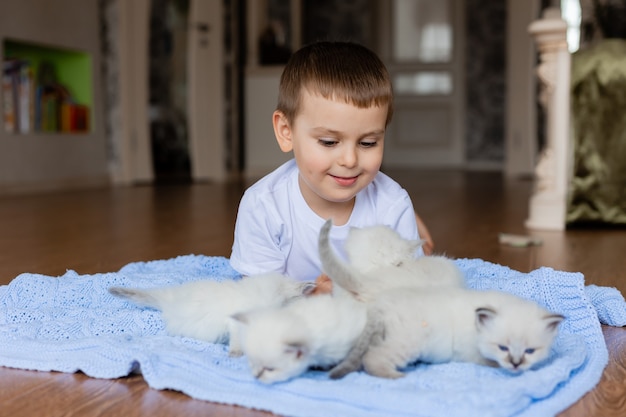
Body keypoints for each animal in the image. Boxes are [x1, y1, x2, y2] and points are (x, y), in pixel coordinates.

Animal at [330, 284, 564, 378]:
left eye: (530, 351)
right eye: (503, 348)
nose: (516, 364)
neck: (477, 327)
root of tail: (379, 304)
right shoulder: (473, 355)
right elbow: (492, 362)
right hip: (408, 343)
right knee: (372, 359)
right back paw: (396, 376)